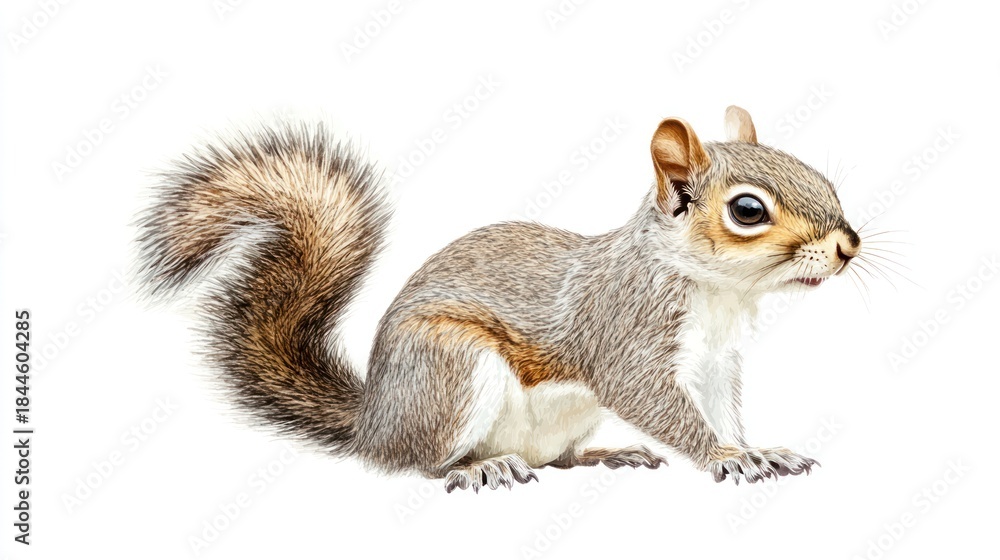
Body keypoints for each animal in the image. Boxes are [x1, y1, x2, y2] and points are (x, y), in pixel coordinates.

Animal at [134, 106, 861, 492]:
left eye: (824, 180)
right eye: (747, 210)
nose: (849, 246)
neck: (717, 294)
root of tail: (374, 421)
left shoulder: (715, 363)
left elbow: (722, 410)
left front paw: (757, 449)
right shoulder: (626, 334)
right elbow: (659, 403)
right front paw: (727, 458)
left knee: (556, 458)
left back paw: (602, 454)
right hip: (450, 368)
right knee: (419, 464)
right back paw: (478, 468)